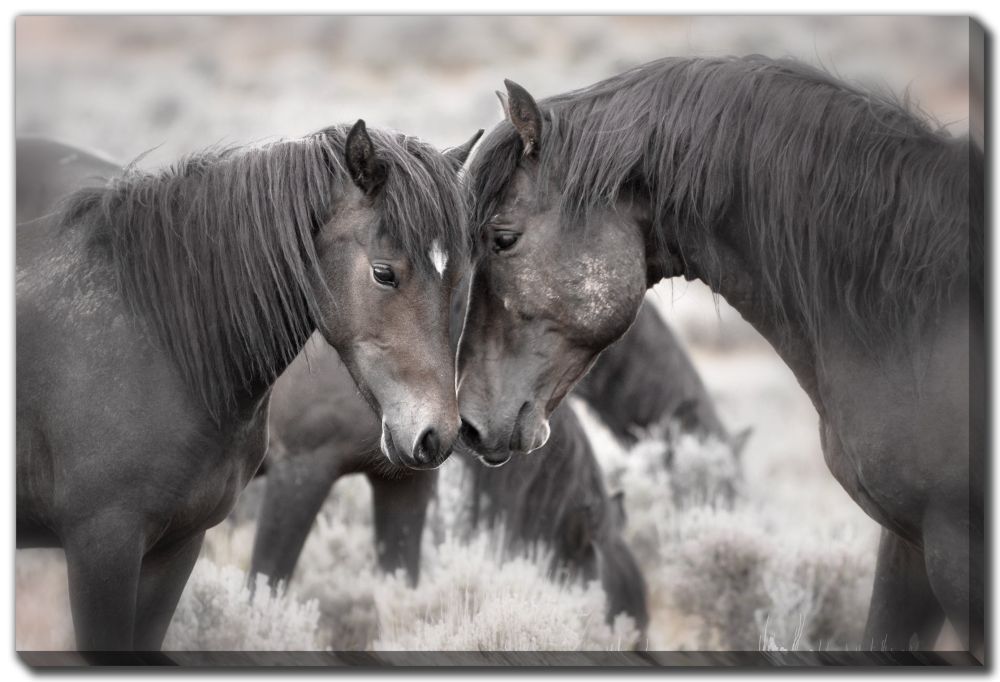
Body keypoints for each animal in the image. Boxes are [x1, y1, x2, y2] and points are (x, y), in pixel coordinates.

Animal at [16, 123, 480, 651]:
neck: (157, 341)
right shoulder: (104, 544)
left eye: (459, 280)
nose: (437, 433)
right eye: (384, 273)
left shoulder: (178, 543)